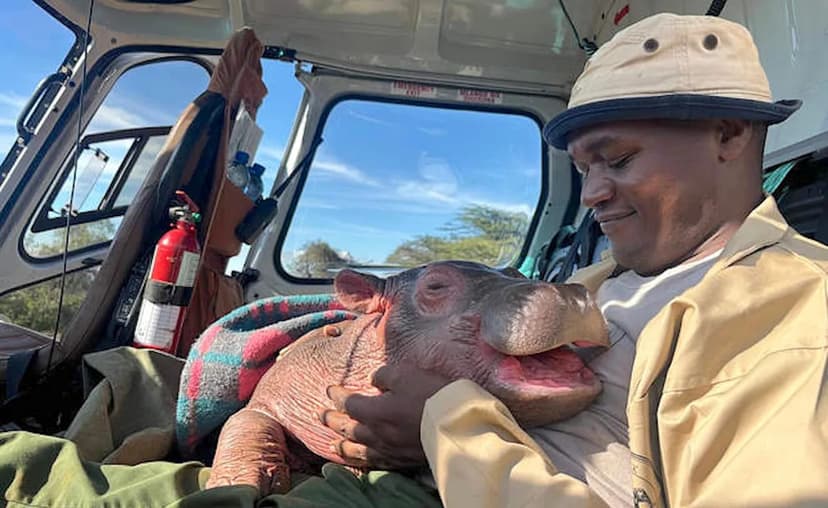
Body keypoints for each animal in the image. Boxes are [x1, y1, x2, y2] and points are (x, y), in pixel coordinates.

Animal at [206, 260, 609, 495]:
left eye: (518, 274)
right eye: (435, 286)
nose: (569, 291)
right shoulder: (276, 391)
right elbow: (248, 420)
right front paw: (233, 485)